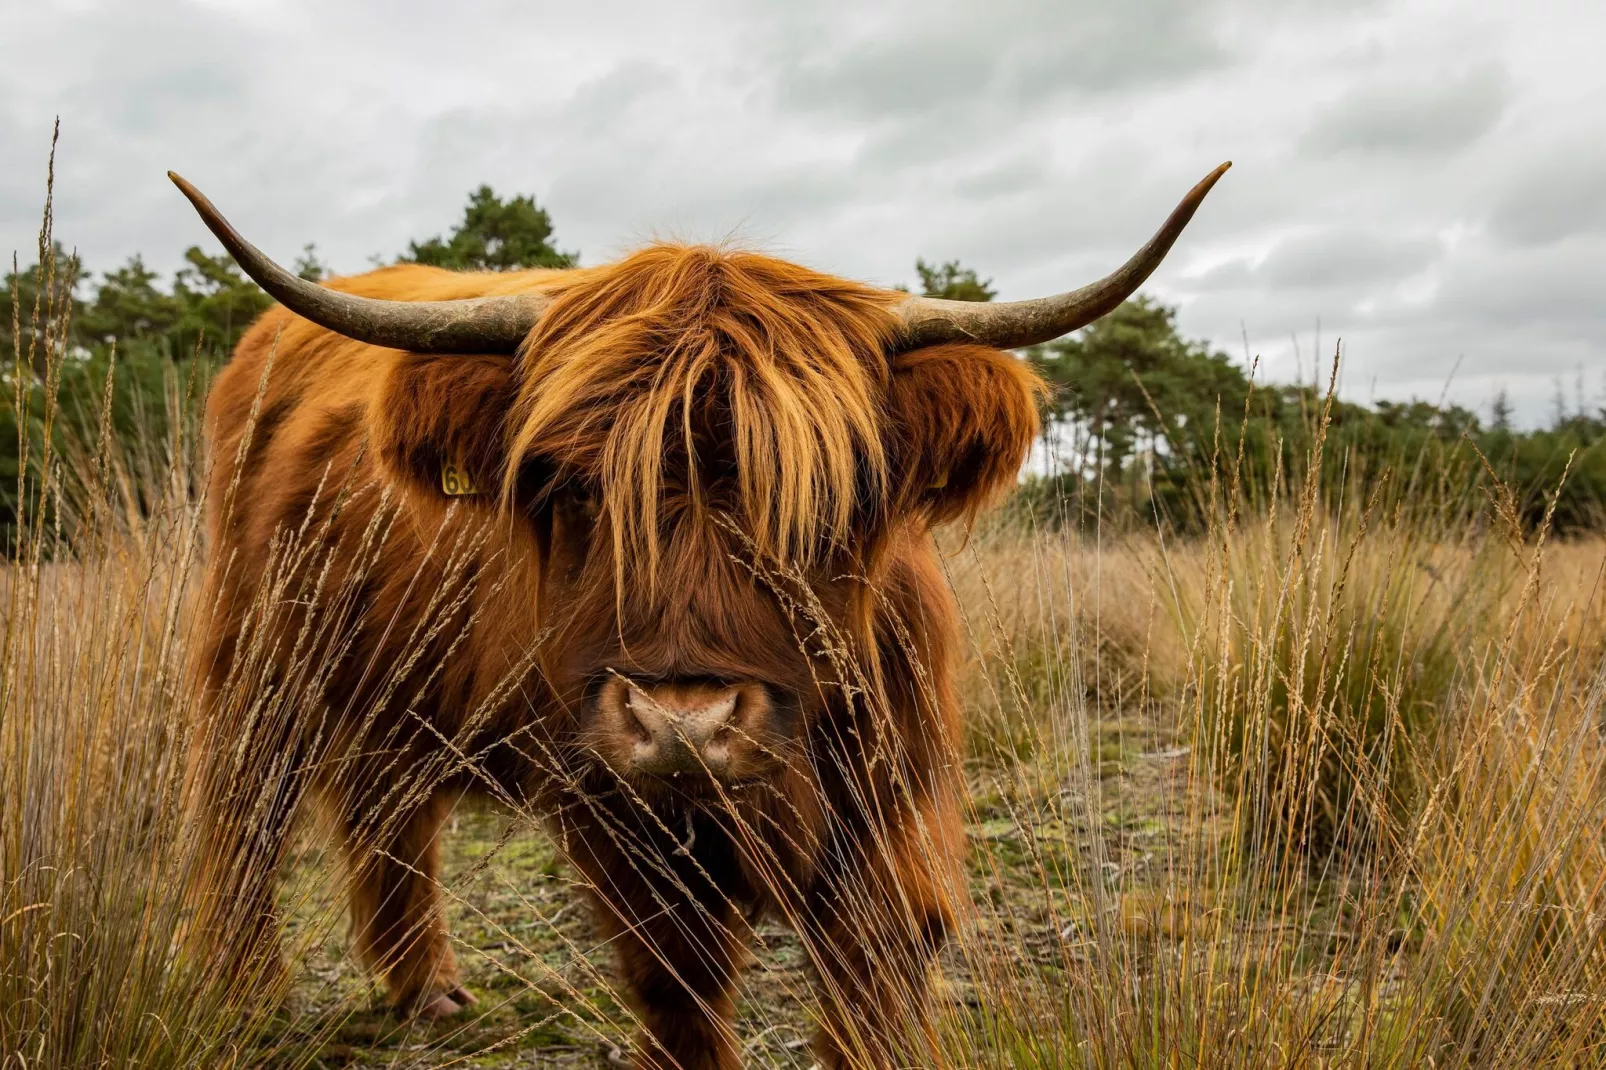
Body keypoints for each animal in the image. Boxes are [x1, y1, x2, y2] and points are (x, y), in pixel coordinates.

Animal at [179, 160, 1226, 1066]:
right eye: (569, 486)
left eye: (827, 496)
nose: (684, 725)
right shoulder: (611, 798)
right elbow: (678, 981)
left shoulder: (893, 785)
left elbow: (880, 963)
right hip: (256, 657)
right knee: (245, 817)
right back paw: (246, 999)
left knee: (382, 805)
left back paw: (425, 989)